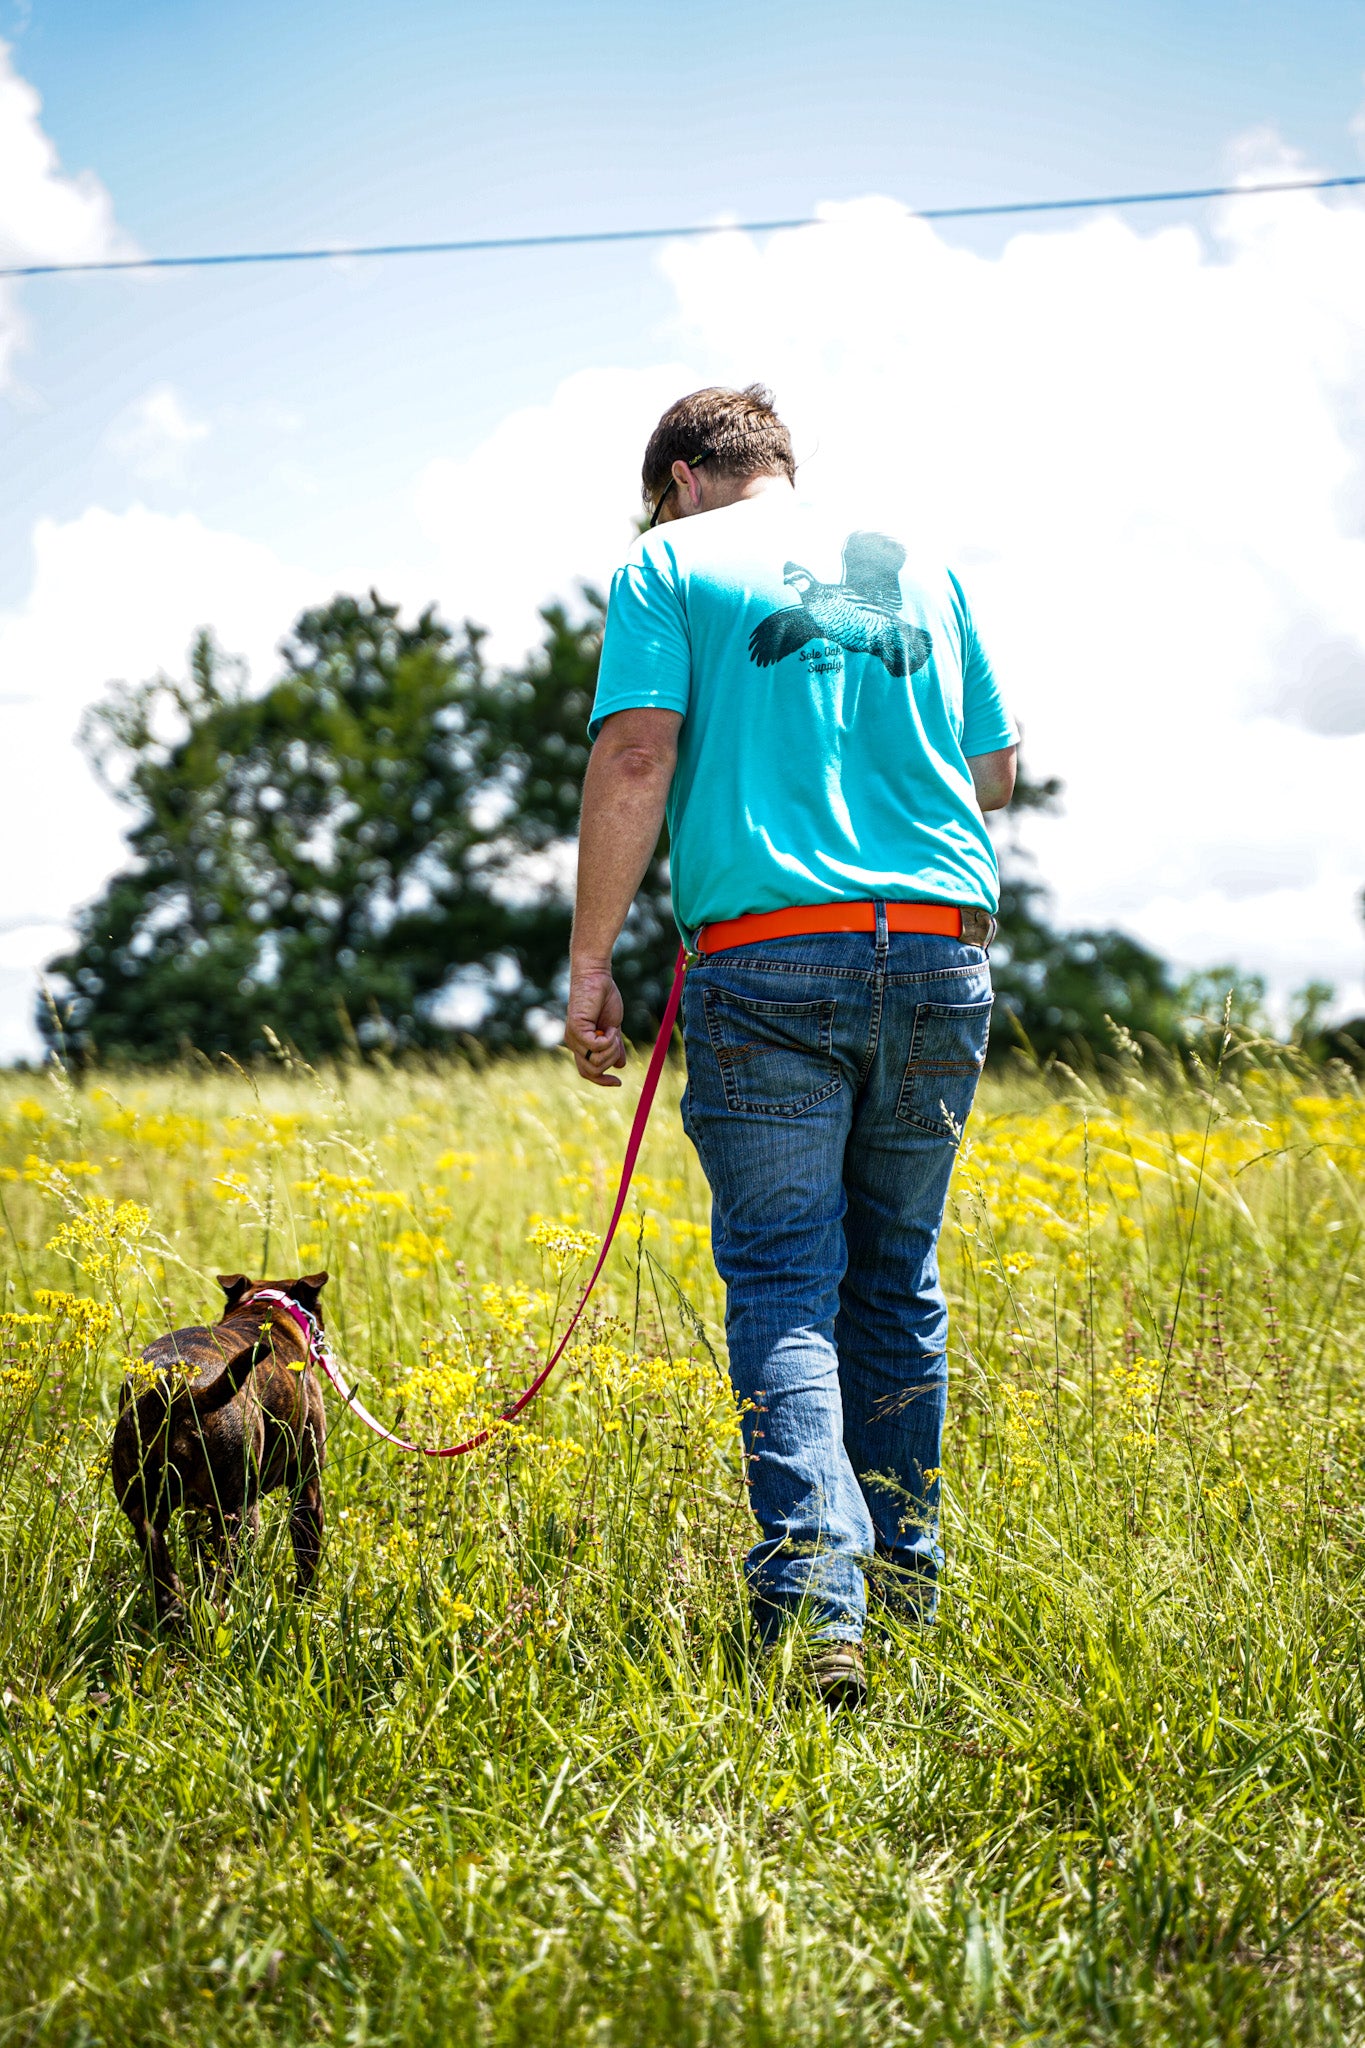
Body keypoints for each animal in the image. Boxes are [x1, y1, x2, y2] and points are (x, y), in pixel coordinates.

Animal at [109, 1269, 327, 1622]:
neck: (264, 1312)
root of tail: (180, 1390)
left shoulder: (196, 1512)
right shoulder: (307, 1493)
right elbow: (306, 1565)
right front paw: (305, 1609)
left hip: (145, 1511)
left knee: (168, 1586)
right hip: (239, 1516)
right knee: (218, 1591)